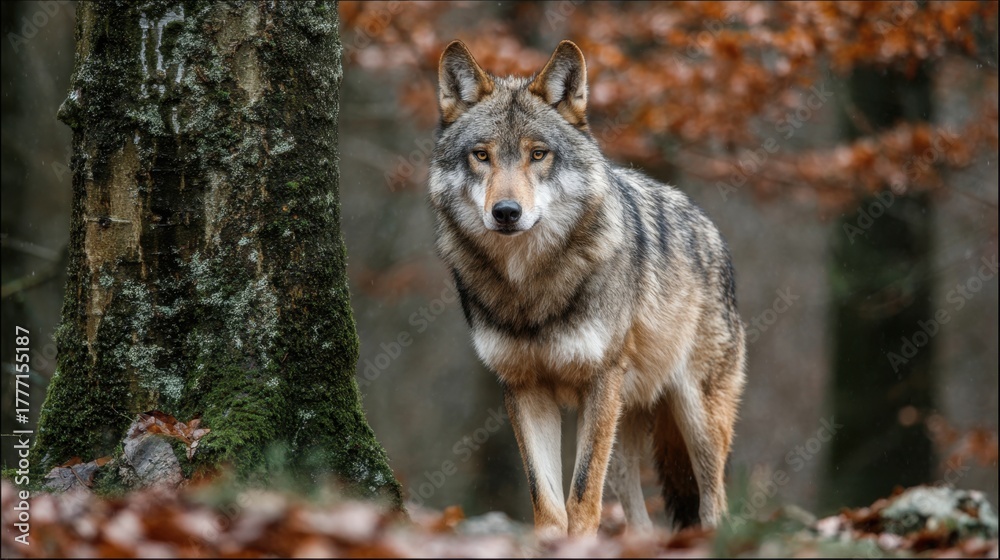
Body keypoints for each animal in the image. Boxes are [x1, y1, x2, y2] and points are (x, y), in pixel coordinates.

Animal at [428, 40, 746, 537]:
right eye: (481, 155)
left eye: (538, 154)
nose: (506, 212)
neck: (529, 285)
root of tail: (712, 229)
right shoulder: (524, 387)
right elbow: (547, 503)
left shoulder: (600, 379)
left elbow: (581, 498)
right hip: (624, 430)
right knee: (639, 518)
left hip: (693, 416)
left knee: (715, 502)